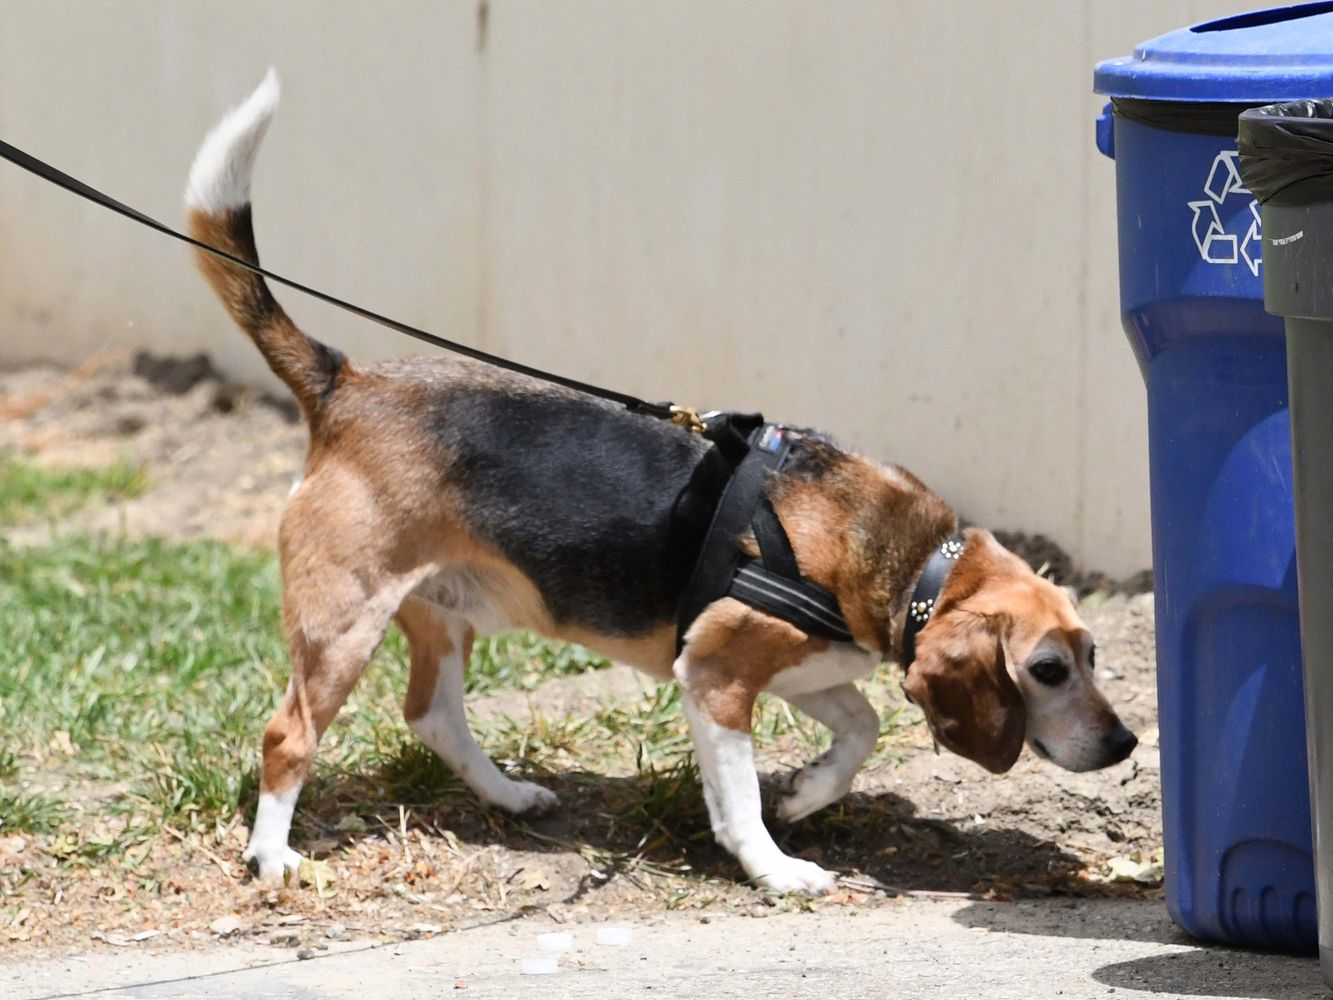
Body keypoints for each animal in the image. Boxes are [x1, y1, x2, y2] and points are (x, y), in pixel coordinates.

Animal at [182, 74, 1130, 896]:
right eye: (1046, 670)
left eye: (1092, 657)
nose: (1123, 743)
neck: (909, 560)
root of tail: (344, 381)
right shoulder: (715, 677)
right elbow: (740, 801)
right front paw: (774, 867)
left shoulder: (808, 667)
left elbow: (859, 728)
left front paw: (807, 795)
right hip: (343, 624)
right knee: (288, 735)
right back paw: (273, 858)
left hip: (442, 615)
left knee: (433, 716)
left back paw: (508, 796)